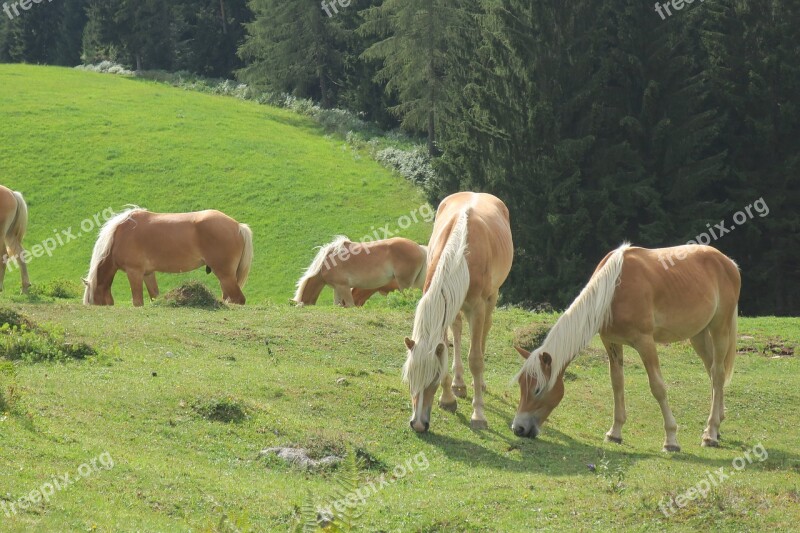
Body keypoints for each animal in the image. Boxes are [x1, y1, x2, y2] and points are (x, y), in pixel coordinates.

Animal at [83, 209, 252, 308]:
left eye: (92, 301)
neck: (119, 235)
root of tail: (238, 226)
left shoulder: (134, 272)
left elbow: (137, 302)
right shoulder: (148, 273)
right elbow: (154, 296)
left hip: (225, 274)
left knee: (238, 299)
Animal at [292, 236, 428, 306]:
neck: (327, 262)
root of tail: (420, 248)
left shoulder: (344, 287)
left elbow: (350, 305)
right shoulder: (337, 288)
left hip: (405, 284)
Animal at [400, 191, 512, 432]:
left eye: (432, 379)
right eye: (410, 378)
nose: (418, 424)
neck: (461, 254)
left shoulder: (478, 308)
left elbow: (476, 360)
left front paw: (478, 415)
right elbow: (446, 347)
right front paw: (448, 399)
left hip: (491, 298)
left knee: (484, 332)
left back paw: (478, 383)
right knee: (458, 332)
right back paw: (459, 383)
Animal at [516, 243, 740, 450]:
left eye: (537, 389)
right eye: (521, 385)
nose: (518, 428)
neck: (612, 291)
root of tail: (728, 262)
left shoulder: (645, 342)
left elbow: (658, 387)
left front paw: (671, 439)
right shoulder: (612, 343)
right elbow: (617, 383)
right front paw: (614, 433)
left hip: (719, 329)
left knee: (718, 374)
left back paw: (710, 433)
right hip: (698, 335)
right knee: (712, 372)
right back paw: (717, 425)